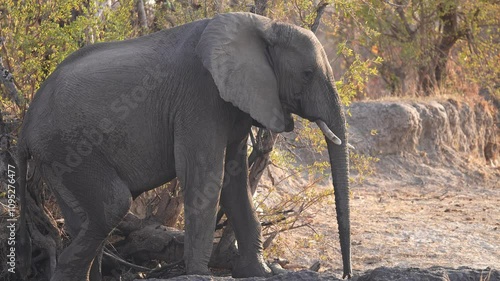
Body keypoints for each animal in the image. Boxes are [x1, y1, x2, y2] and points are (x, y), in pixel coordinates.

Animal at [15, 12, 352, 280]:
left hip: (56, 160)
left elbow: (235, 183)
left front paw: (259, 273)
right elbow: (205, 178)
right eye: (307, 75)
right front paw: (200, 274)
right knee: (113, 204)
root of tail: (26, 124)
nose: (348, 274)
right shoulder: (200, 96)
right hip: (69, 149)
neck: (264, 27)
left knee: (84, 220)